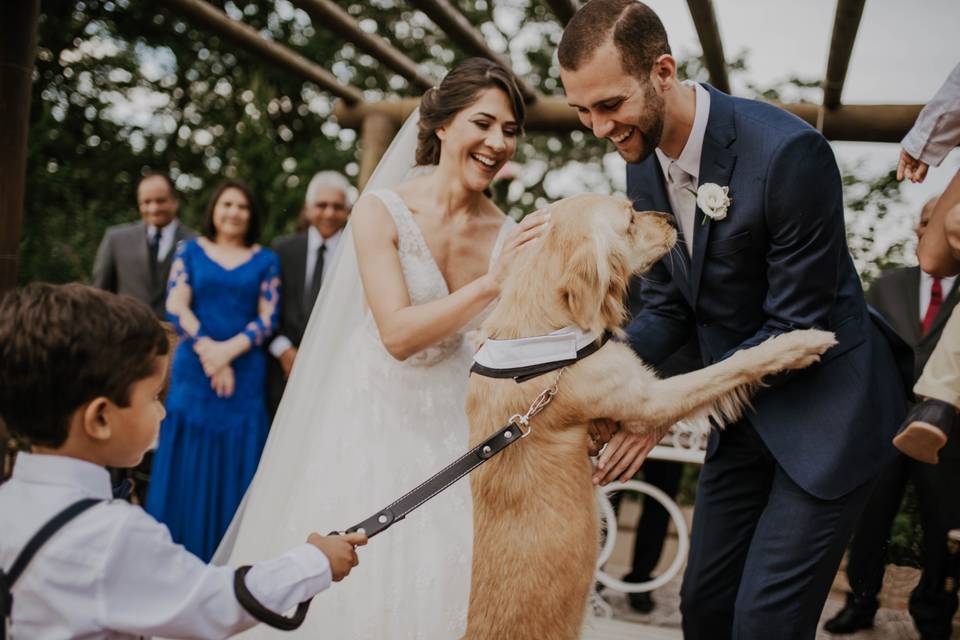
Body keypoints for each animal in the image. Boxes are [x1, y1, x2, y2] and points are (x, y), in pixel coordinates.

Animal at [462, 195, 836, 640]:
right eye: (630, 220)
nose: (671, 217)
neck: (544, 331)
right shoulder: (650, 398)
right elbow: (731, 367)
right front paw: (799, 343)